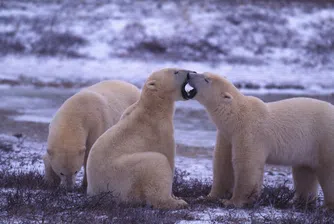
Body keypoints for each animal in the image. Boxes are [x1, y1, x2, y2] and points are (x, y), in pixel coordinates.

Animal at [86, 68, 197, 210]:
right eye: (176, 72)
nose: (191, 72)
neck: (153, 108)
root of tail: (97, 192)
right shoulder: (160, 130)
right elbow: (168, 156)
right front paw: (175, 197)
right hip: (123, 174)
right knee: (156, 163)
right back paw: (178, 203)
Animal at [188, 72, 334, 209]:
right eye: (203, 73)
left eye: (206, 79)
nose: (190, 74)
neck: (236, 116)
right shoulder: (227, 136)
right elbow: (223, 164)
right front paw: (208, 197)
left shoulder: (249, 132)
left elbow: (246, 164)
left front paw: (233, 201)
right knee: (304, 172)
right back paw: (298, 202)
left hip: (324, 140)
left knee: (327, 173)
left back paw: (326, 207)